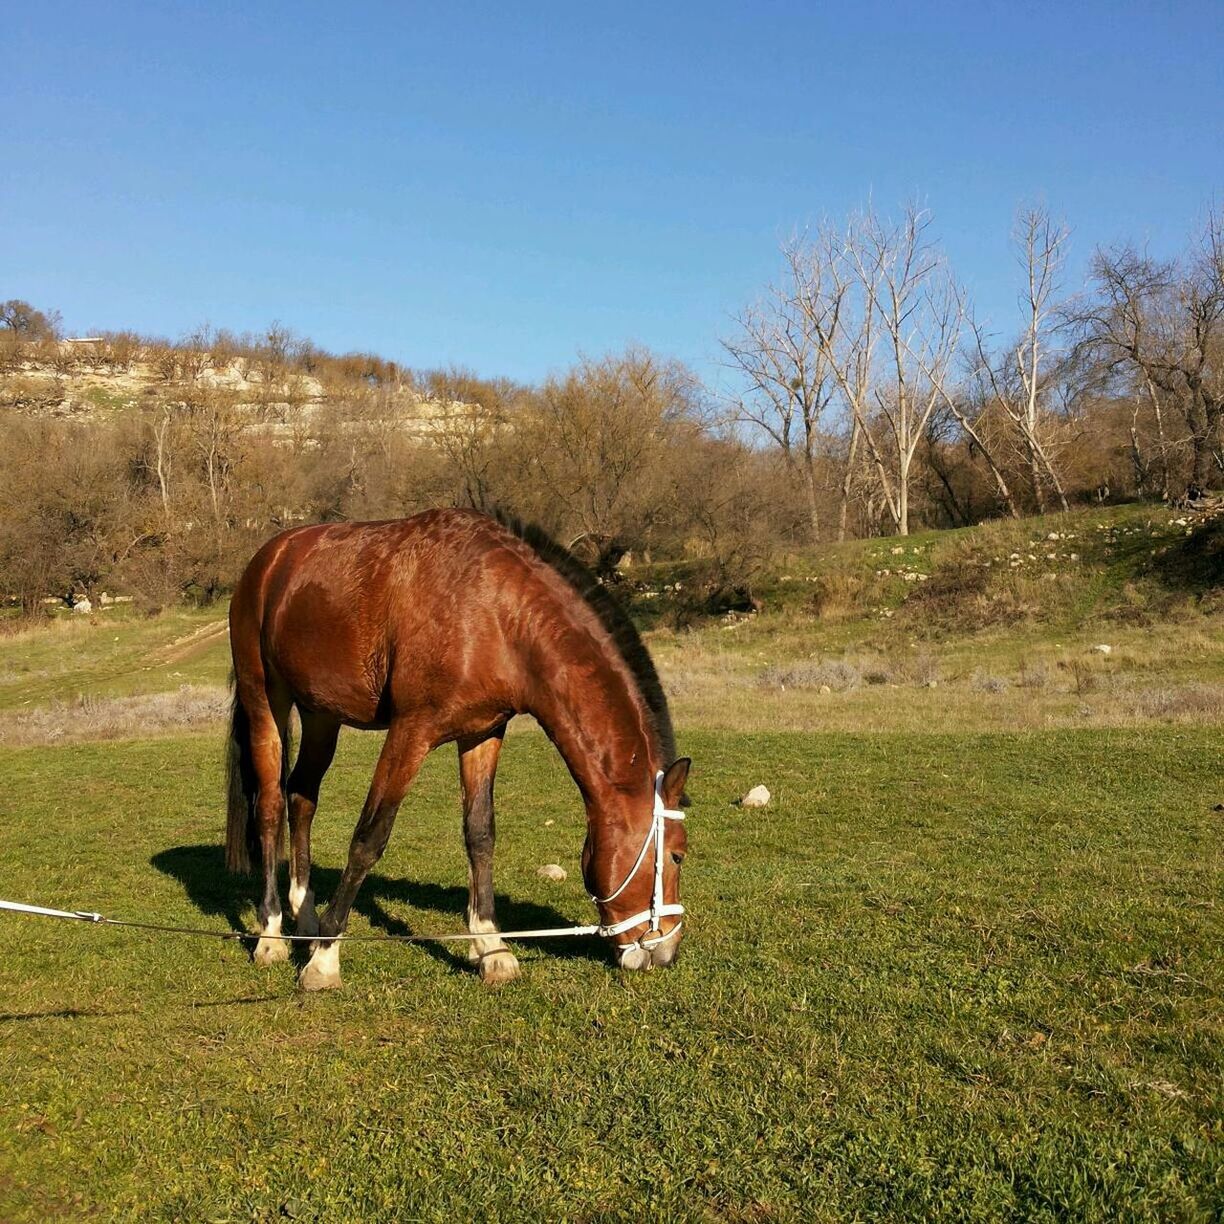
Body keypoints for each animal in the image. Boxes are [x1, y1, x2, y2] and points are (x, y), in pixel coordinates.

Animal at [226, 504, 690, 984]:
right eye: (677, 856)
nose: (667, 951)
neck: (499, 615)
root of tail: (268, 559)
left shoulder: (481, 733)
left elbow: (480, 833)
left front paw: (491, 946)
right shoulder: (411, 732)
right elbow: (369, 837)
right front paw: (324, 958)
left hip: (322, 716)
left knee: (301, 797)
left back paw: (305, 916)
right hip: (265, 702)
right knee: (270, 808)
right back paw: (272, 935)